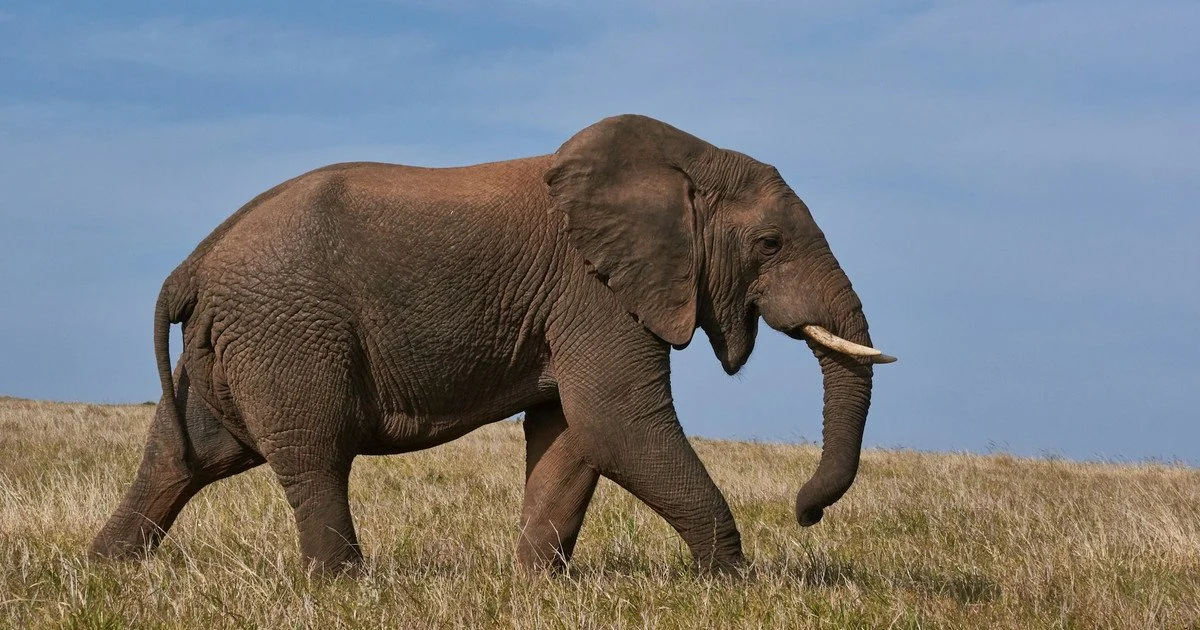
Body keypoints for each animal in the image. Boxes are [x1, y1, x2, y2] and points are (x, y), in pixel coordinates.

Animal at [90, 114, 895, 575]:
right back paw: (343, 587)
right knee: (313, 454)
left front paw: (535, 587)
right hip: (287, 330)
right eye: (770, 244)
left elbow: (572, 434)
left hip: (233, 343)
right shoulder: (593, 291)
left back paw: (108, 572)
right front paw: (728, 583)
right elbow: (618, 421)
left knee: (185, 455)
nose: (805, 514)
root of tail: (195, 263)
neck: (683, 162)